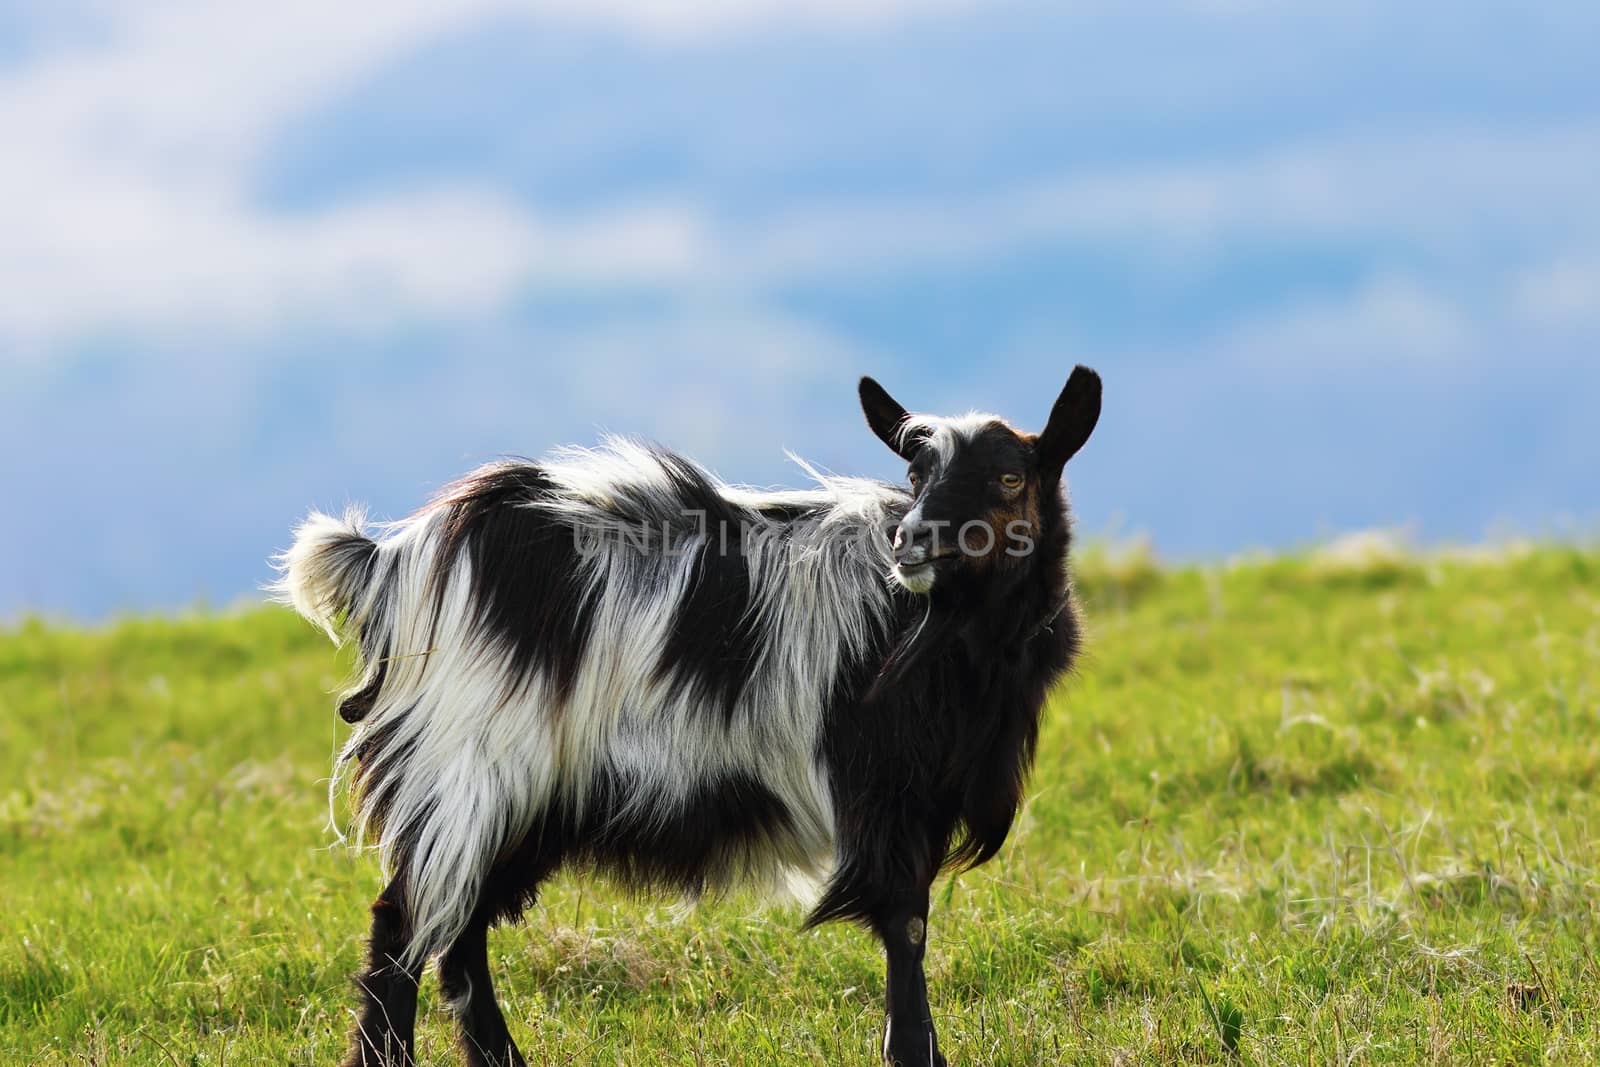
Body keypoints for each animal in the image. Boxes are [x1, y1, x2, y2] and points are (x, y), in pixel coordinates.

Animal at [275, 367, 1100, 1067]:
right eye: (916, 474)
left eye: (1010, 475)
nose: (912, 541)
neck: (938, 631)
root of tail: (392, 561)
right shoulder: (885, 795)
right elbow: (907, 925)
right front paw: (916, 1052)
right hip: (468, 767)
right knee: (406, 922)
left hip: (524, 799)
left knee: (459, 929)